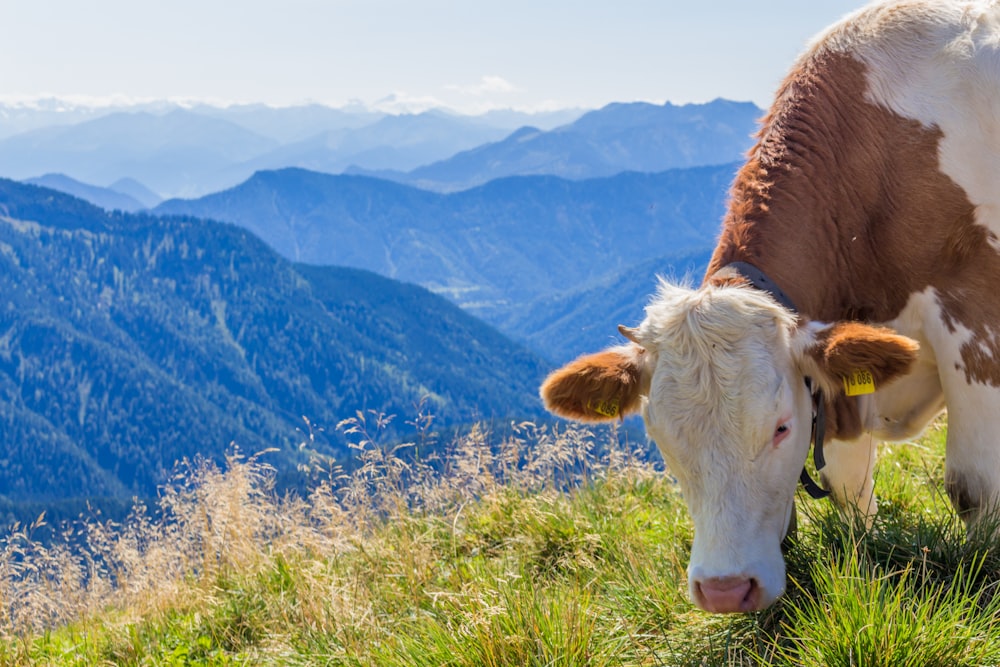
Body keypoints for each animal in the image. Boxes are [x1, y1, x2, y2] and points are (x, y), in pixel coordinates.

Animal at [544, 0, 1000, 616]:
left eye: (781, 428)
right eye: (659, 437)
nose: (724, 588)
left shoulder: (973, 316)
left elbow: (973, 486)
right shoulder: (841, 373)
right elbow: (848, 481)